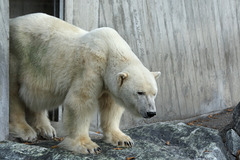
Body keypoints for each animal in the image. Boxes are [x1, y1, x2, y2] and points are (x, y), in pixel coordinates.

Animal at [9, 13, 160, 154]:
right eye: (140, 92)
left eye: (154, 94)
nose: (151, 112)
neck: (109, 49)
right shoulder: (91, 66)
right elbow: (80, 101)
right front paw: (88, 146)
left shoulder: (107, 82)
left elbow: (111, 106)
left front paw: (123, 139)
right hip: (18, 56)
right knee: (13, 94)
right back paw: (26, 131)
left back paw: (46, 129)